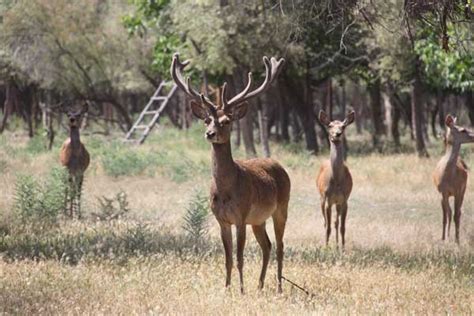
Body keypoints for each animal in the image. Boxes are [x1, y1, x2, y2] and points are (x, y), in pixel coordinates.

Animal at [170, 53, 288, 292]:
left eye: (226, 121)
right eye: (207, 120)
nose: (210, 133)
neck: (226, 191)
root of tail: (279, 165)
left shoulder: (241, 216)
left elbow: (240, 257)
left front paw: (241, 291)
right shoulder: (222, 220)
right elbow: (227, 259)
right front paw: (226, 288)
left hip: (282, 207)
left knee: (280, 246)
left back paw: (279, 287)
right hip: (258, 219)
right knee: (267, 246)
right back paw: (260, 286)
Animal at [316, 110, 354, 248]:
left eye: (343, 126)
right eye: (330, 125)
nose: (337, 134)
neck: (337, 181)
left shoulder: (345, 200)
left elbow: (343, 227)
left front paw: (342, 248)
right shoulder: (327, 199)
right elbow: (328, 227)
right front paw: (326, 248)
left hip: (337, 203)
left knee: (336, 222)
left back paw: (337, 245)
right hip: (322, 199)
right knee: (325, 223)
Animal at [434, 115, 474, 243]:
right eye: (463, 130)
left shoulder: (458, 190)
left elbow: (456, 214)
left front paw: (457, 240)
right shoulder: (444, 191)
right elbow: (447, 215)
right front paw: (445, 238)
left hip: (463, 190)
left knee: (458, 212)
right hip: (442, 195)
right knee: (446, 213)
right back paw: (444, 236)